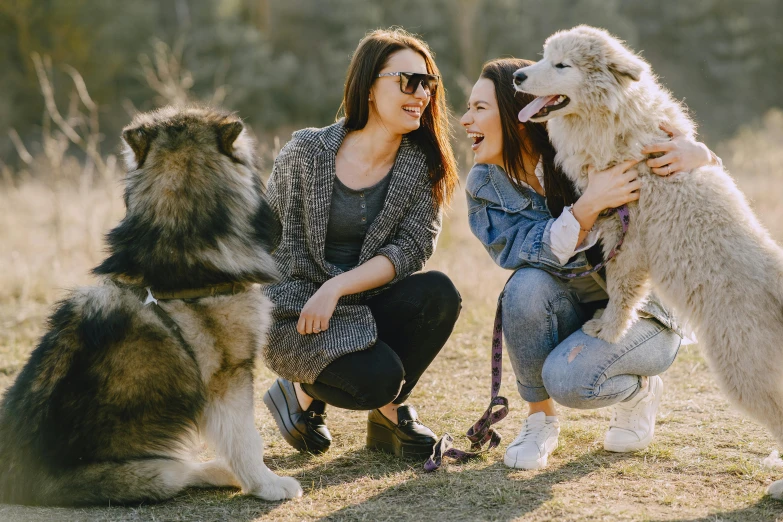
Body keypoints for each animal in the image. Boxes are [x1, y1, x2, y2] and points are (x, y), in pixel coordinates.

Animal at [516, 25, 783, 500]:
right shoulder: (610, 221)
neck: (620, 126)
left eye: (562, 65)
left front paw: (607, 330)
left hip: (744, 369)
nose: (518, 77)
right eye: (543, 57)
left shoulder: (632, 240)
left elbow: (622, 292)